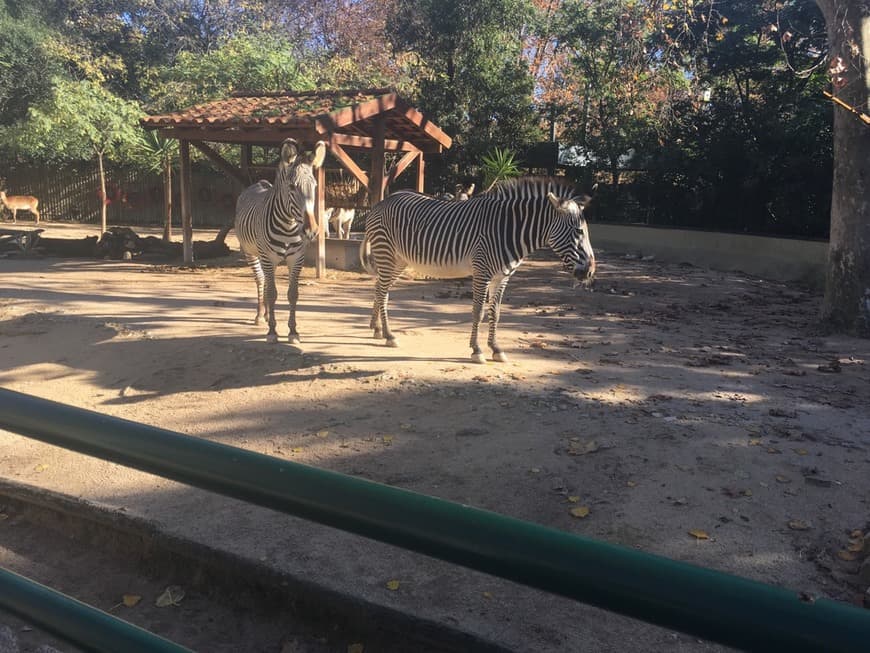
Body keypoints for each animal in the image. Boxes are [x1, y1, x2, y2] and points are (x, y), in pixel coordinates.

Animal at [235, 139, 328, 344]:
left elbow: (292, 294)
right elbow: (272, 293)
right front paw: (272, 332)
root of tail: (259, 183)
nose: (311, 231)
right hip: (252, 253)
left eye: (315, 186)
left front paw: (293, 331)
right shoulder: (268, 258)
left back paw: (267, 315)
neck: (288, 227)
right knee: (261, 280)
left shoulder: (296, 258)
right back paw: (260, 316)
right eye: (292, 187)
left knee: (266, 282)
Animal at [358, 177, 596, 362]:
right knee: (382, 291)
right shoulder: (482, 272)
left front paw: (496, 349)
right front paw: (477, 350)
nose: (590, 272)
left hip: (399, 260)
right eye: (578, 232)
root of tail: (382, 202)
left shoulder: (502, 277)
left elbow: (496, 313)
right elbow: (478, 311)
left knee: (380, 288)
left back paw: (377, 329)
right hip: (387, 253)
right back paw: (389, 335)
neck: (507, 230)